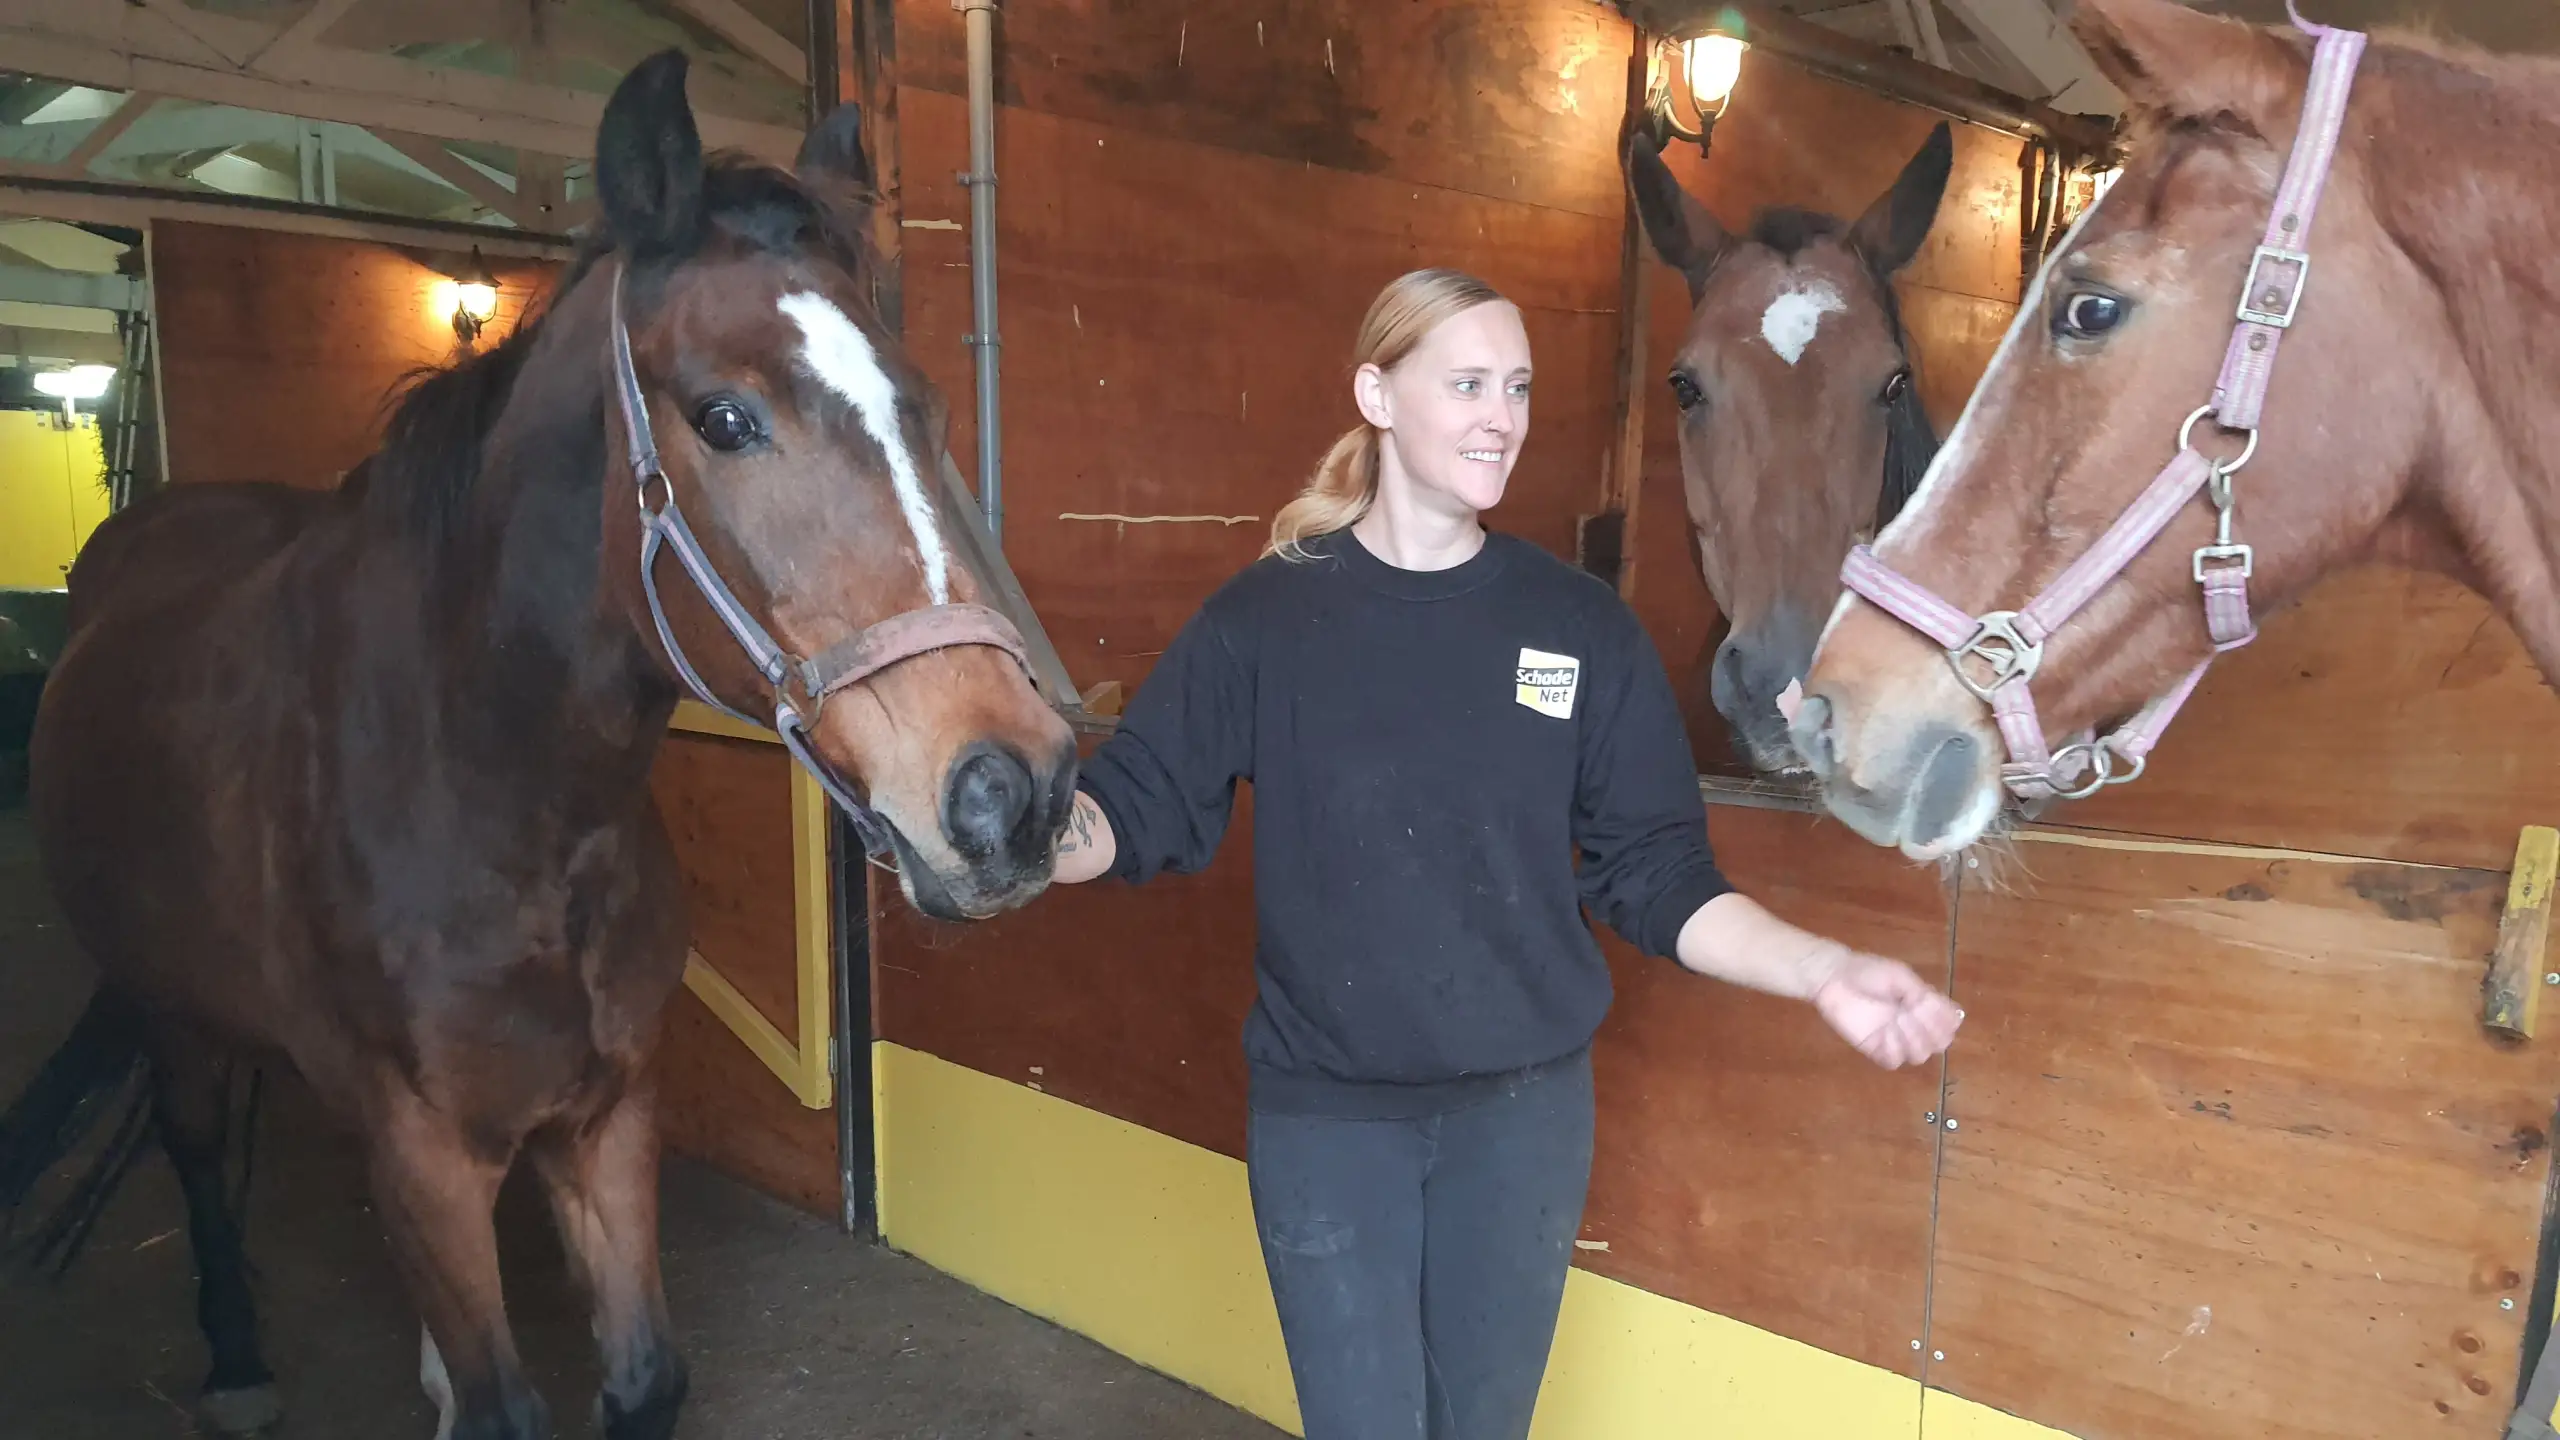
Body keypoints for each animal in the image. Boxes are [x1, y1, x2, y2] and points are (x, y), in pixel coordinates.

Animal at [0, 49, 1075, 1440]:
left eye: (929, 409)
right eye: (724, 418)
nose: (1015, 792)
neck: (497, 795)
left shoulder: (607, 1120)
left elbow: (642, 1377)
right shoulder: (423, 1150)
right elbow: (506, 1404)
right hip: (166, 1006)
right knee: (192, 1146)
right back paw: (236, 1361)